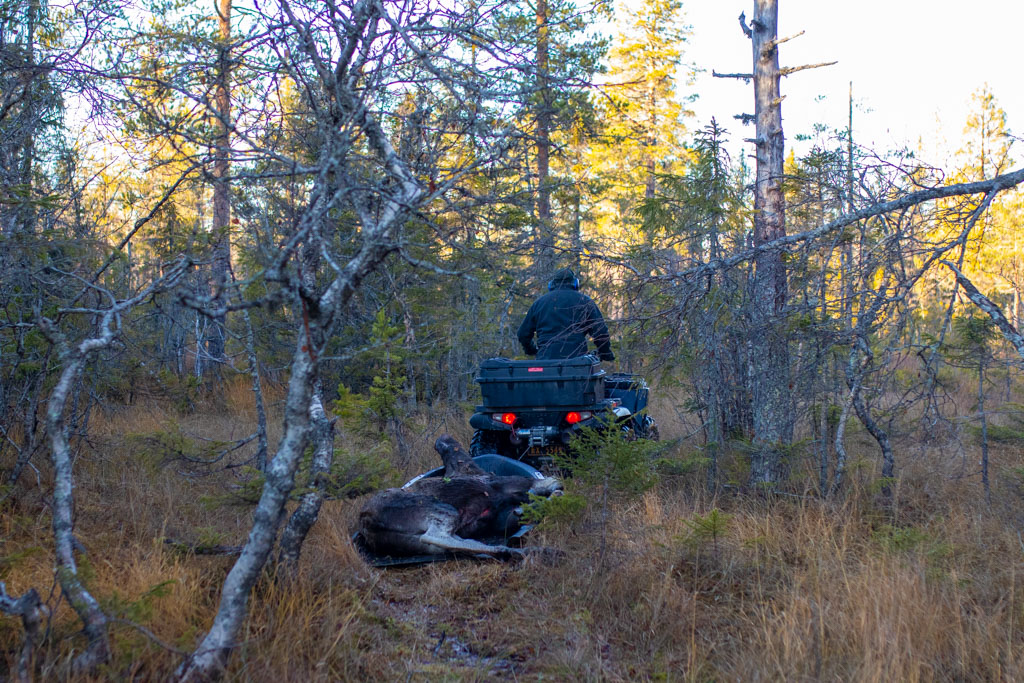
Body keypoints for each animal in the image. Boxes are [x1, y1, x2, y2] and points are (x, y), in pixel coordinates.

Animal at [358, 438, 565, 561]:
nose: (441, 440)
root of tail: (366, 521)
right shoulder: (506, 484)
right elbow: (554, 484)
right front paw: (531, 506)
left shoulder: (500, 517)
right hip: (440, 509)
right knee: (435, 535)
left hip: (415, 543)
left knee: (458, 543)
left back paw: (519, 551)